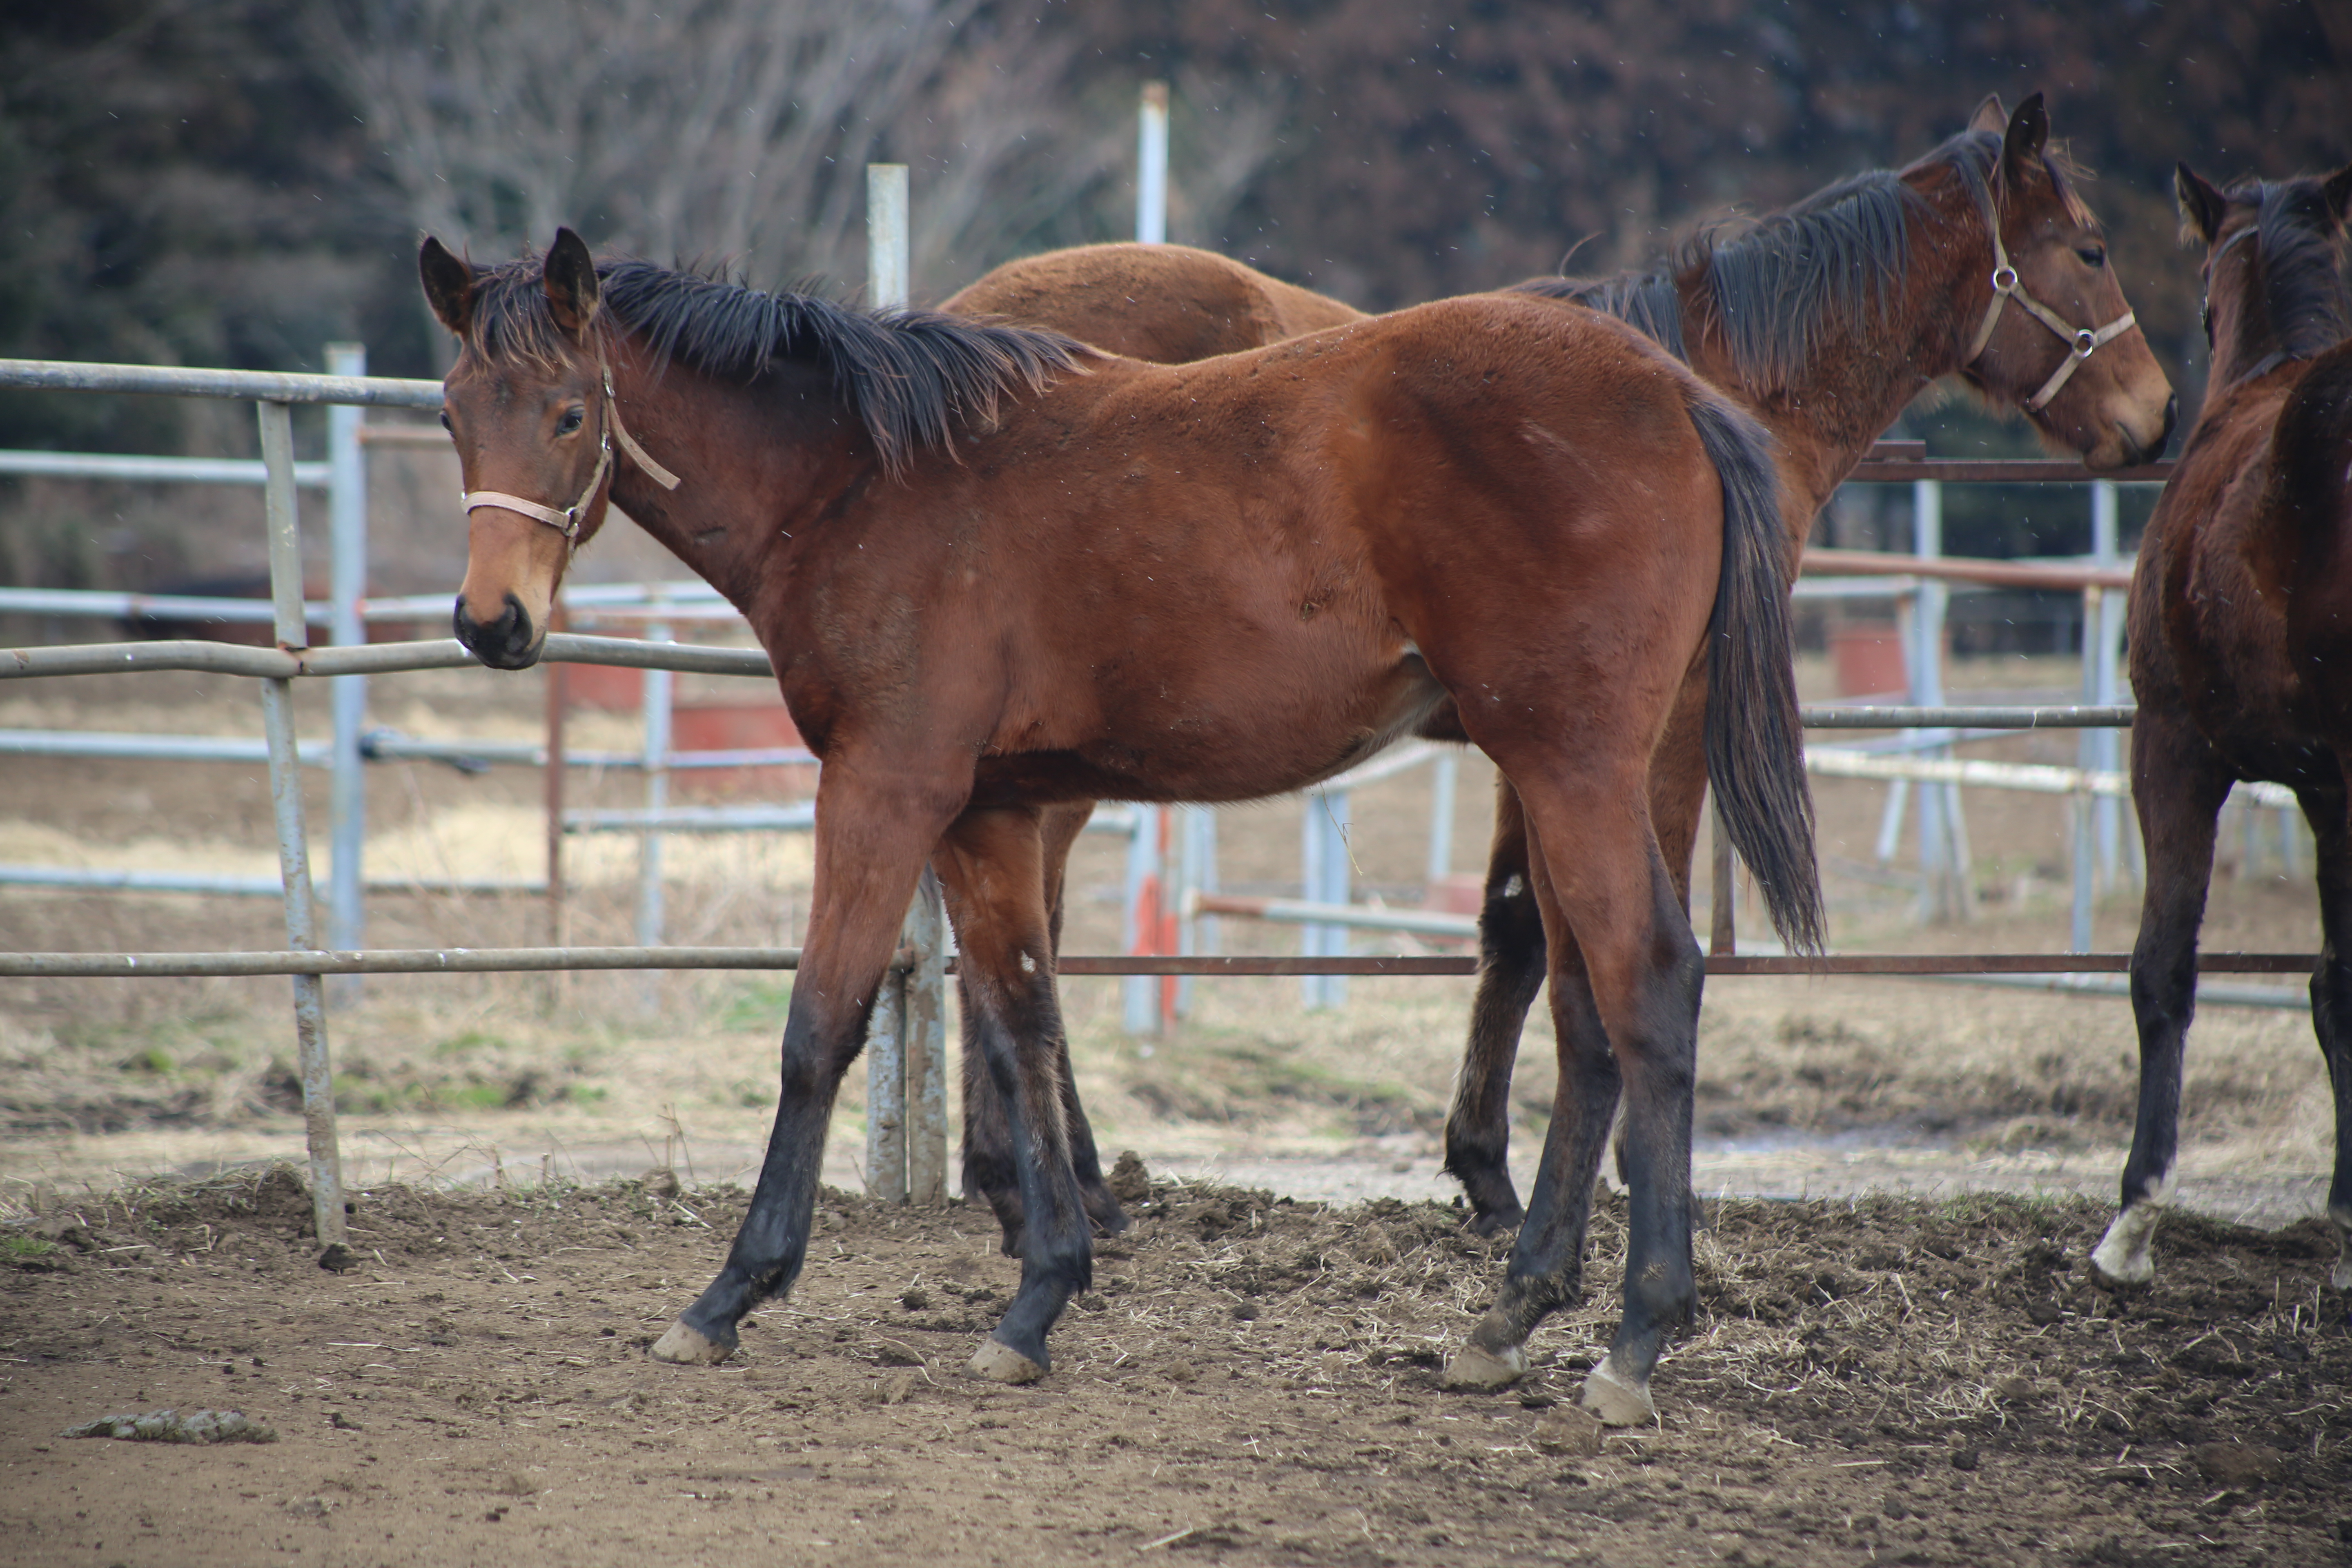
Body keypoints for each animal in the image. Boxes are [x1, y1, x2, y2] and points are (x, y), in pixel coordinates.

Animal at [437, 230, 1834, 1420]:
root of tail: (1681, 396)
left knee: (1649, 982)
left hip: (1574, 765)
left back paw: (1635, 1336)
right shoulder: (989, 812)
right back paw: (1513, 1317)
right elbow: (1023, 1021)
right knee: (1590, 1008)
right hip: (1571, 777)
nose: (491, 623)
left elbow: (819, 1026)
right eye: (453, 413)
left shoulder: (886, 786)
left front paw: (733, 1291)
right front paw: (1039, 1294)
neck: (865, 483)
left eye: (569, 413)